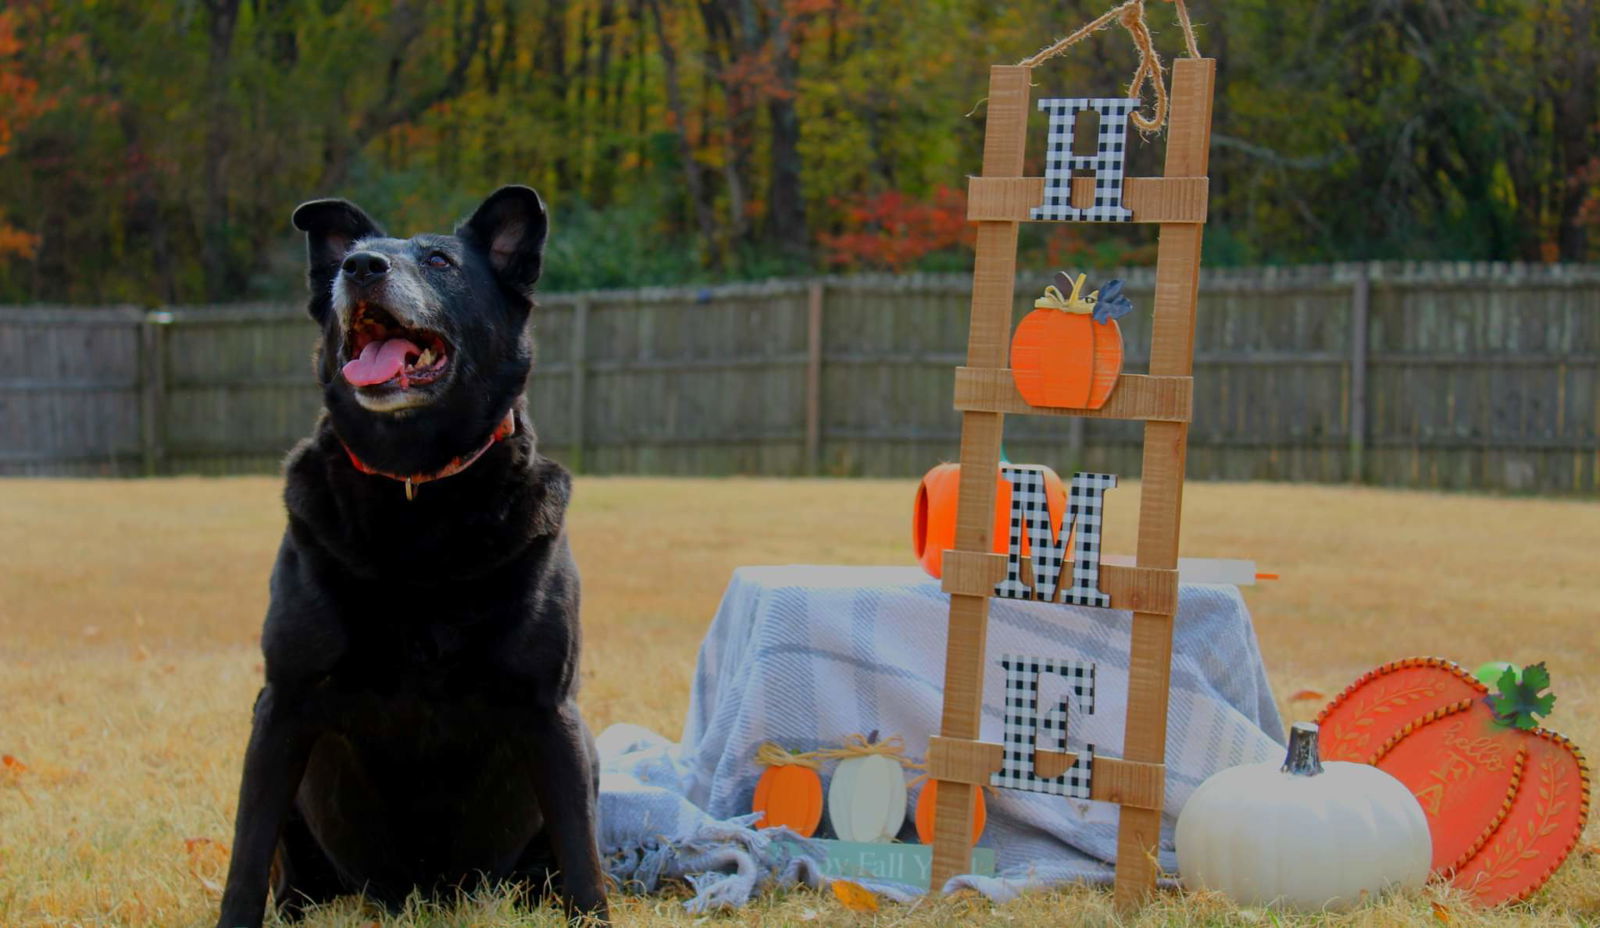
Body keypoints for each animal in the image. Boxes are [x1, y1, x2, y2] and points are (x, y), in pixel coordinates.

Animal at [216, 188, 608, 928]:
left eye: (439, 261)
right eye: (350, 258)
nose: (360, 268)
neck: (415, 489)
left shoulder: (550, 711)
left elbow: (584, 859)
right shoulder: (281, 706)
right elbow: (246, 858)